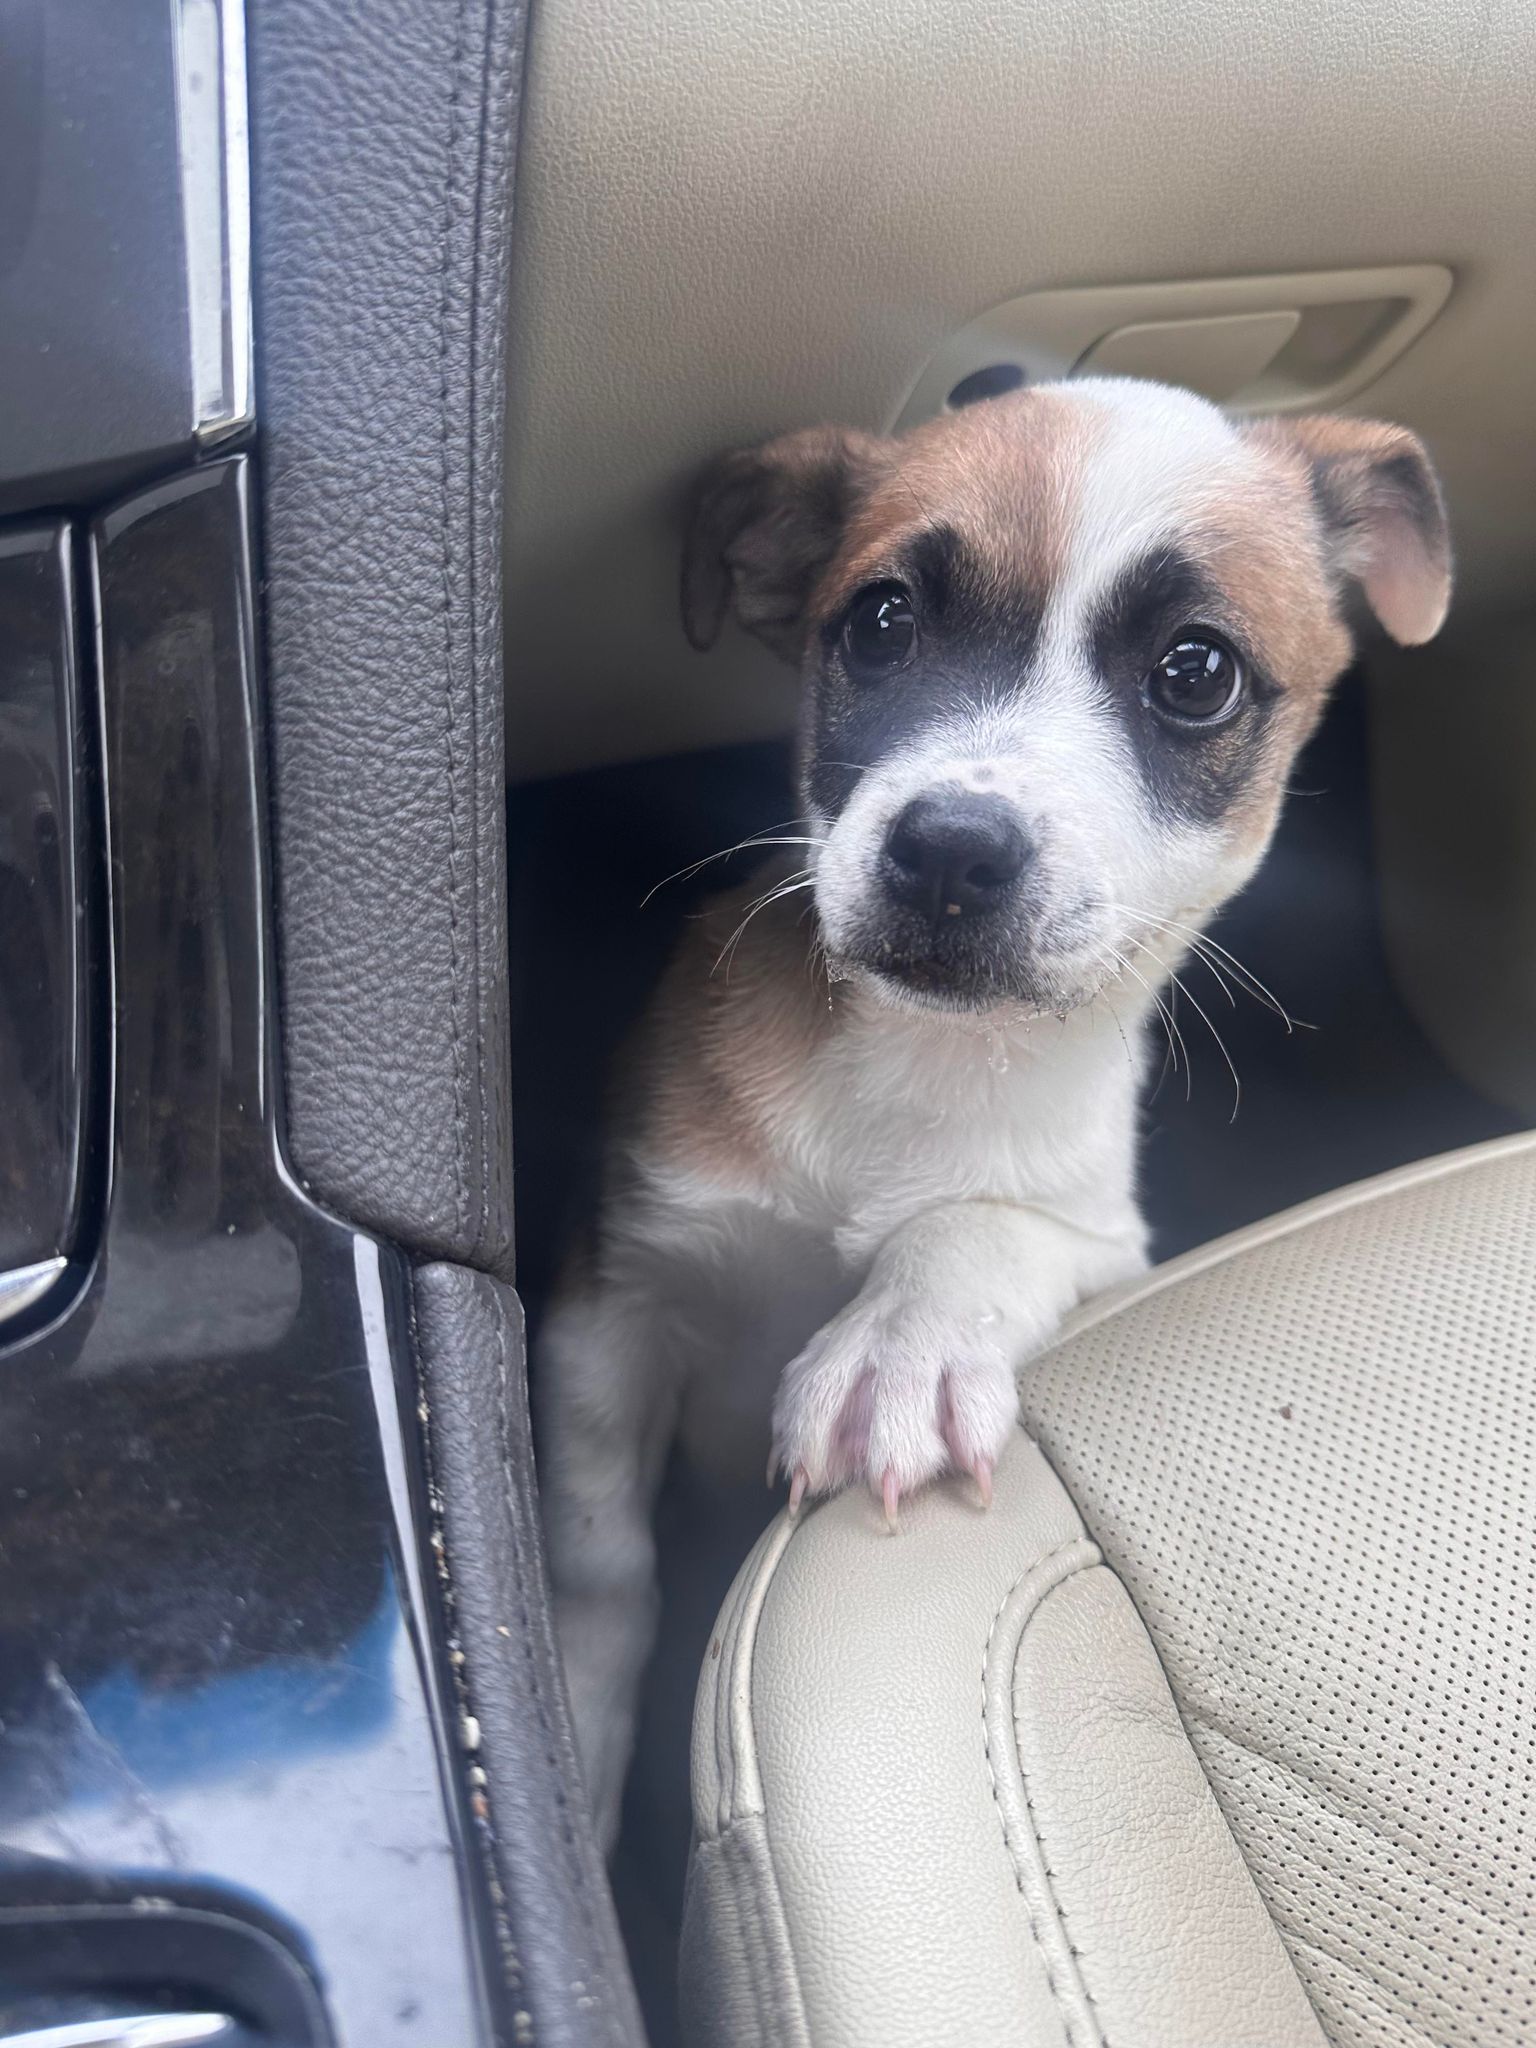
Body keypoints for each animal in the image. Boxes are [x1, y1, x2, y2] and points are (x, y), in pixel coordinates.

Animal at [540, 376, 1458, 1851]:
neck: (924, 1060)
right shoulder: (614, 1288)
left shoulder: (1101, 1236)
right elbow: (597, 1555)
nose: (951, 852)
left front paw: (901, 1346)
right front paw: (573, 1709)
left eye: (1195, 672)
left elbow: (977, 1231)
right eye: (881, 621)